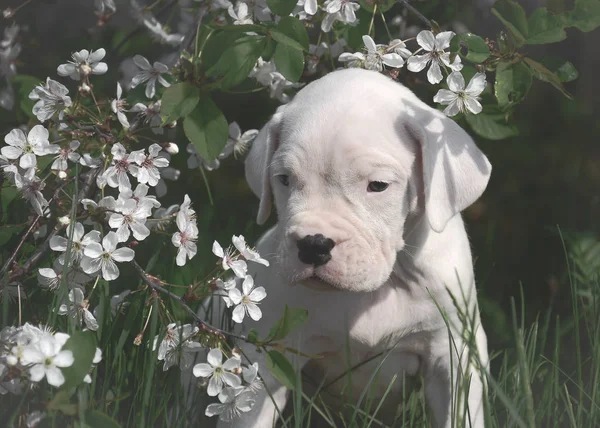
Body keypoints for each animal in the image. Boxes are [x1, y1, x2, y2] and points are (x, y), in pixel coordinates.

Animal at [223, 68, 490, 426]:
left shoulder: (454, 353)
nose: (313, 244)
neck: (380, 288)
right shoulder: (269, 358)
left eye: (377, 185)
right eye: (284, 180)